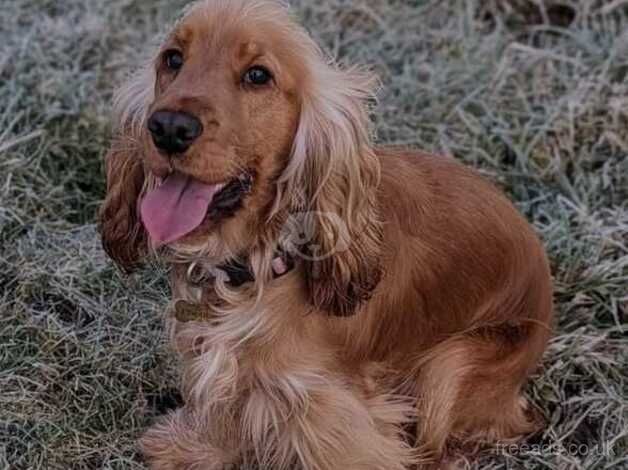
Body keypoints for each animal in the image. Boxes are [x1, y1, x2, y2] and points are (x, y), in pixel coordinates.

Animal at [99, 1, 556, 468]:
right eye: (172, 59)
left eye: (258, 75)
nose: (169, 128)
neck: (256, 265)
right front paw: (193, 449)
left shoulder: (326, 409)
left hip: (453, 364)